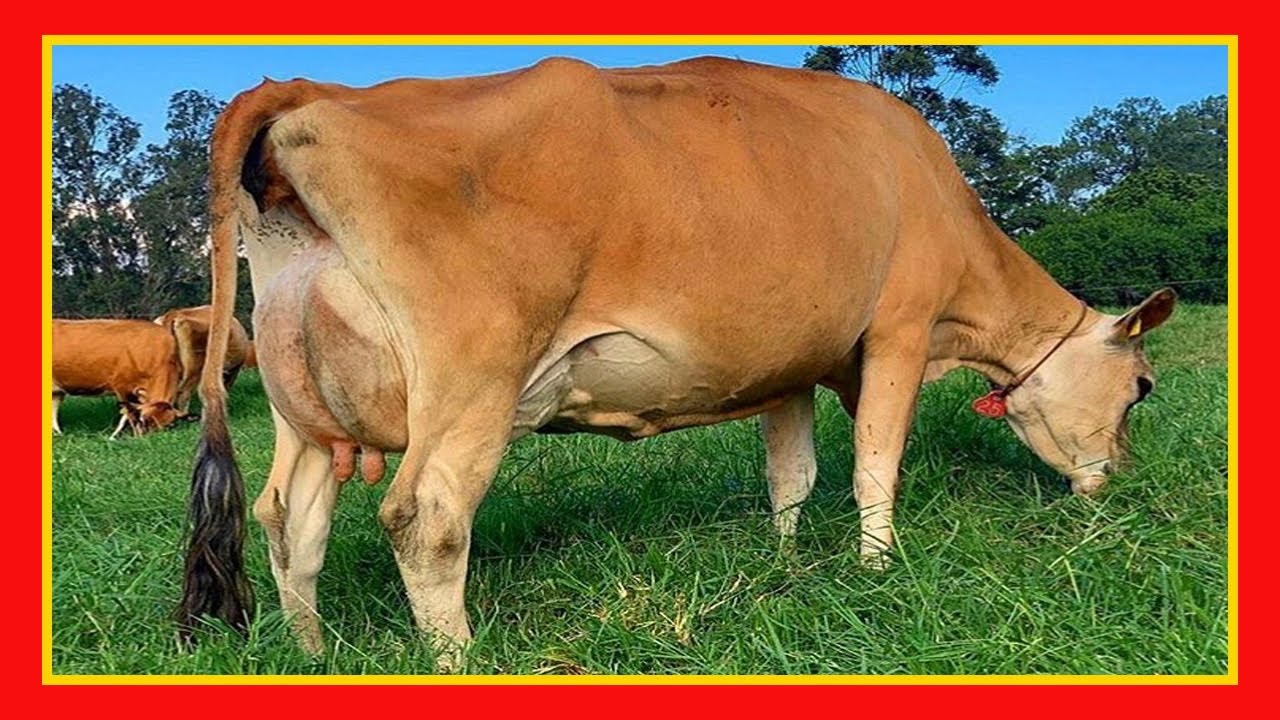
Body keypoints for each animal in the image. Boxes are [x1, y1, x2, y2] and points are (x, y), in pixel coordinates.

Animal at [52, 319, 183, 438]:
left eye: (168, 426)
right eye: (144, 420)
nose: (149, 439)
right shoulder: (122, 387)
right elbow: (128, 414)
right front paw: (118, 437)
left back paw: (59, 434)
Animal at [178, 57, 1176, 661]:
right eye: (1140, 388)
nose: (1117, 480)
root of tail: (309, 86)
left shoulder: (786, 366)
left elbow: (792, 475)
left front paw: (783, 559)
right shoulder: (895, 329)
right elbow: (875, 464)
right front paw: (876, 569)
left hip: (305, 410)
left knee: (287, 521)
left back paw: (312, 651)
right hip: (473, 376)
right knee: (425, 519)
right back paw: (458, 660)